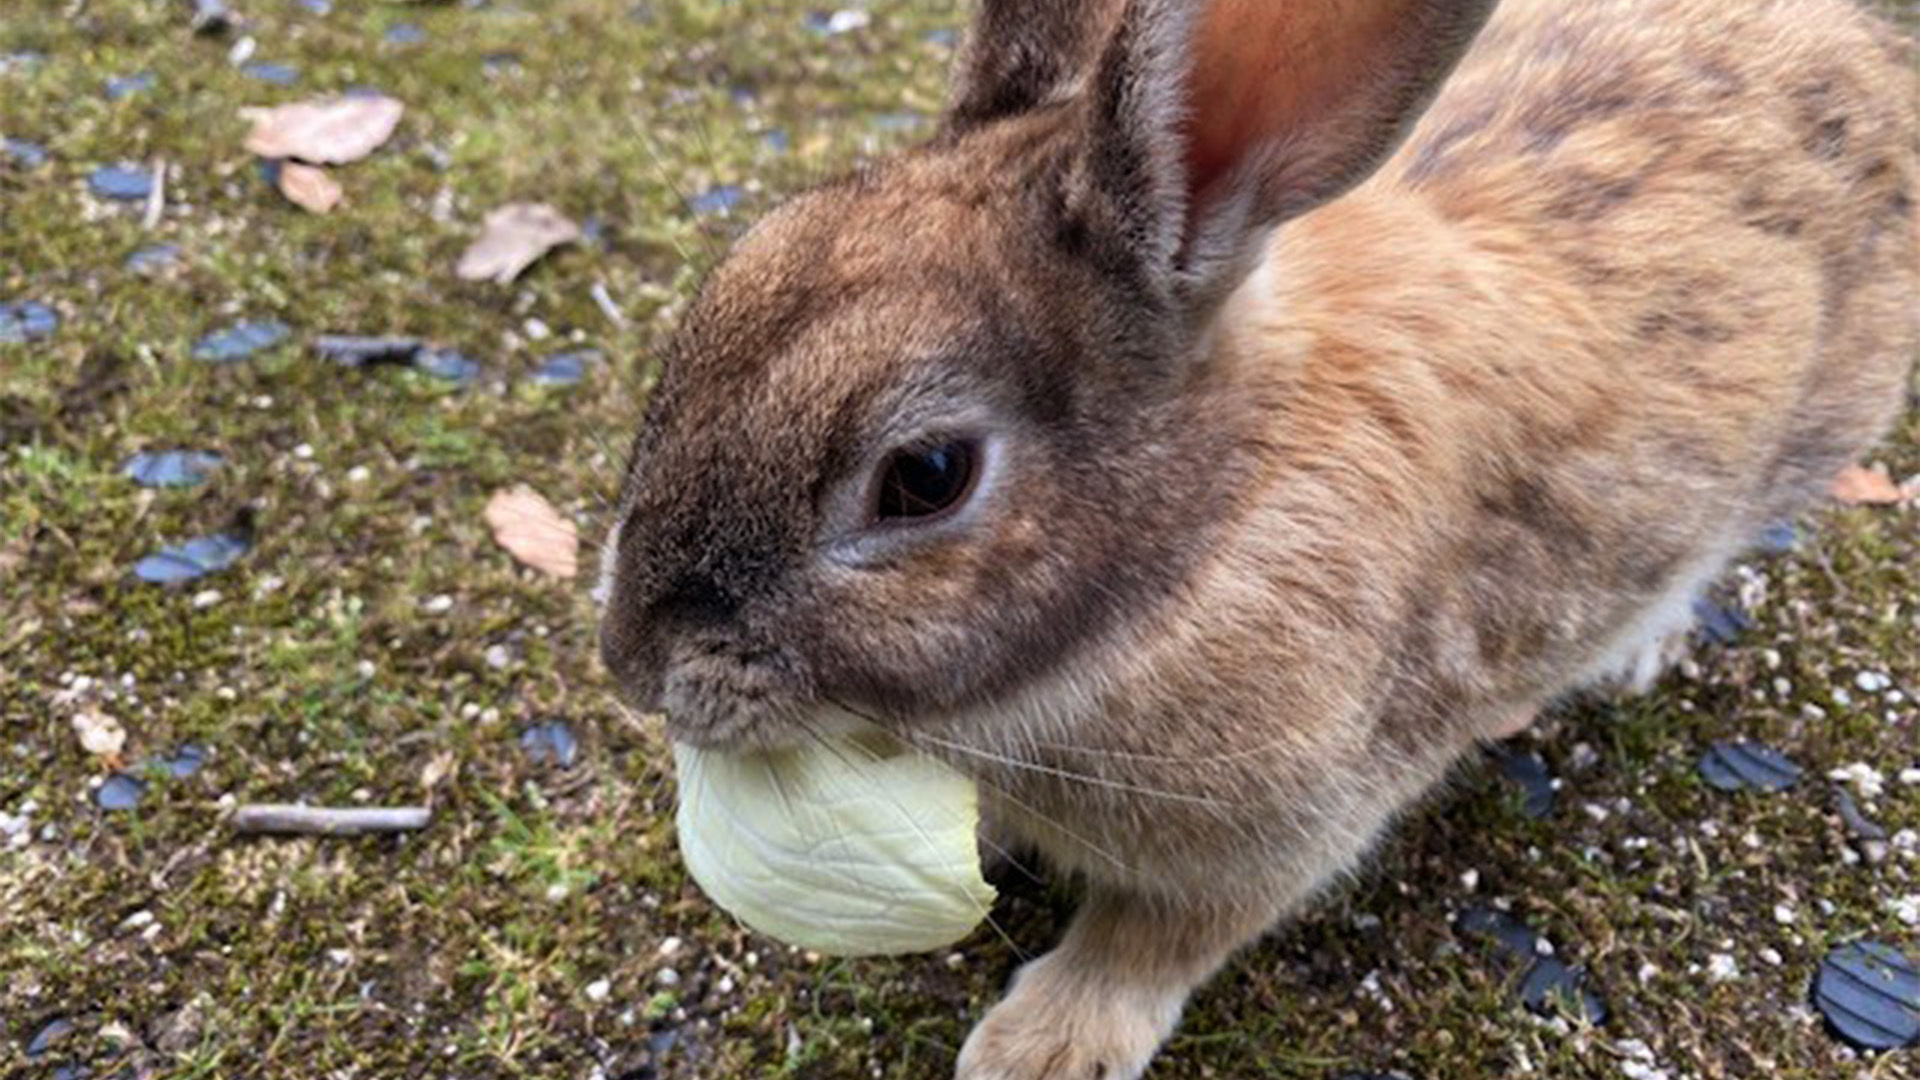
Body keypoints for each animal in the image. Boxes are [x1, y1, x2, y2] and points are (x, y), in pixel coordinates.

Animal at [591, 0, 1912, 1068]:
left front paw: (1043, 1048)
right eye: (729, 285)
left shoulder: (1281, 826)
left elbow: (1153, 937)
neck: (1202, 534)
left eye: (925, 478)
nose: (634, 666)